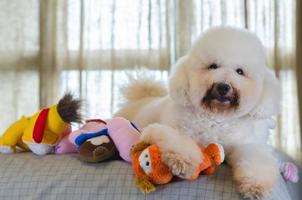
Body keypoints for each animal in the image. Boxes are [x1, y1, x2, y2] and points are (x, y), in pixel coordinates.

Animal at [115, 26, 280, 198]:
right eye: (213, 66)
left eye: (240, 71)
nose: (223, 86)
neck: (216, 117)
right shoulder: (174, 130)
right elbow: (179, 141)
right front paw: (182, 162)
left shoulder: (246, 145)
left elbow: (256, 160)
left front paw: (255, 186)